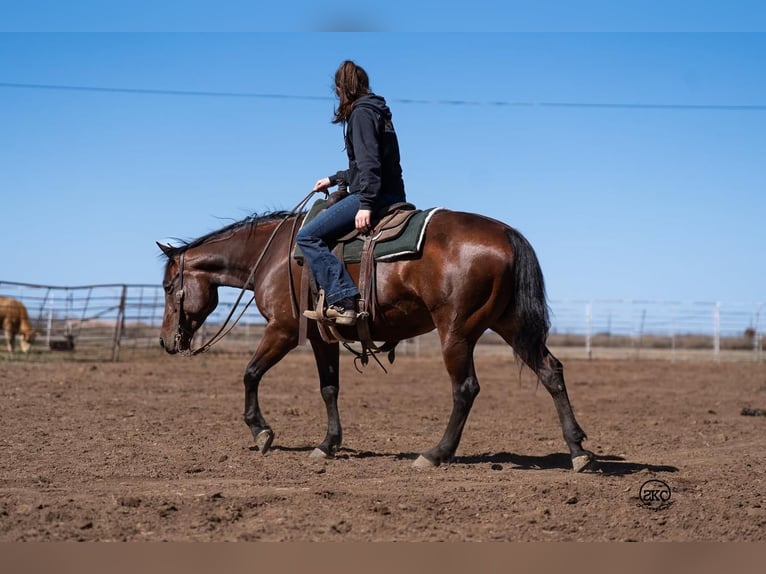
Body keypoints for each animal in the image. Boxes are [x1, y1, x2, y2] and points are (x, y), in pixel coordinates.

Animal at [159, 207, 596, 472]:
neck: (275, 256)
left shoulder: (281, 330)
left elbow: (250, 373)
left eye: (166, 286)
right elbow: (329, 388)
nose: (166, 342)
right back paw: (578, 451)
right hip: (511, 325)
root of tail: (506, 233)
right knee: (550, 371)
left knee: (465, 388)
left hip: (456, 331)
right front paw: (328, 444)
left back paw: (435, 454)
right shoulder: (322, 337)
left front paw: (262, 432)